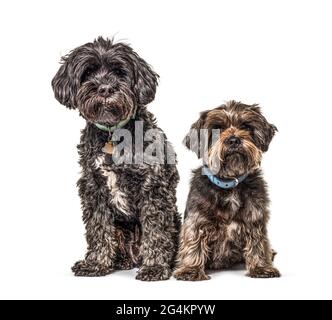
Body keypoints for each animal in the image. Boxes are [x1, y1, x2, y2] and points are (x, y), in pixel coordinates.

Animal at [52, 37, 180, 280]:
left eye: (120, 72)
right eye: (88, 72)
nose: (105, 88)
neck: (113, 132)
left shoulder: (153, 185)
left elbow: (156, 230)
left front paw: (155, 267)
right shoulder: (93, 187)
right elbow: (98, 229)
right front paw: (95, 264)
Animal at [174, 101, 280, 282]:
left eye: (245, 126)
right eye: (217, 129)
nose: (233, 140)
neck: (229, 184)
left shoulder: (255, 218)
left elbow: (258, 243)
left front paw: (261, 267)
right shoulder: (197, 220)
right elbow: (193, 242)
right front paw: (190, 269)